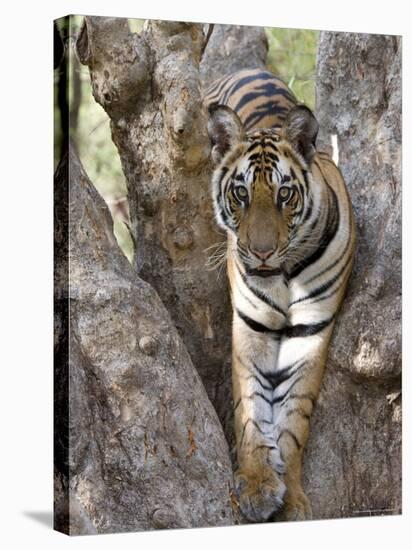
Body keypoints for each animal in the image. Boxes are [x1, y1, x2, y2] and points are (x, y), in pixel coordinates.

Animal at [204, 68, 356, 520]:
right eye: (240, 193)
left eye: (284, 193)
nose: (261, 252)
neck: (284, 274)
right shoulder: (251, 325)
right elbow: (251, 406)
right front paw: (256, 483)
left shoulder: (311, 330)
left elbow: (293, 416)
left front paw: (291, 498)